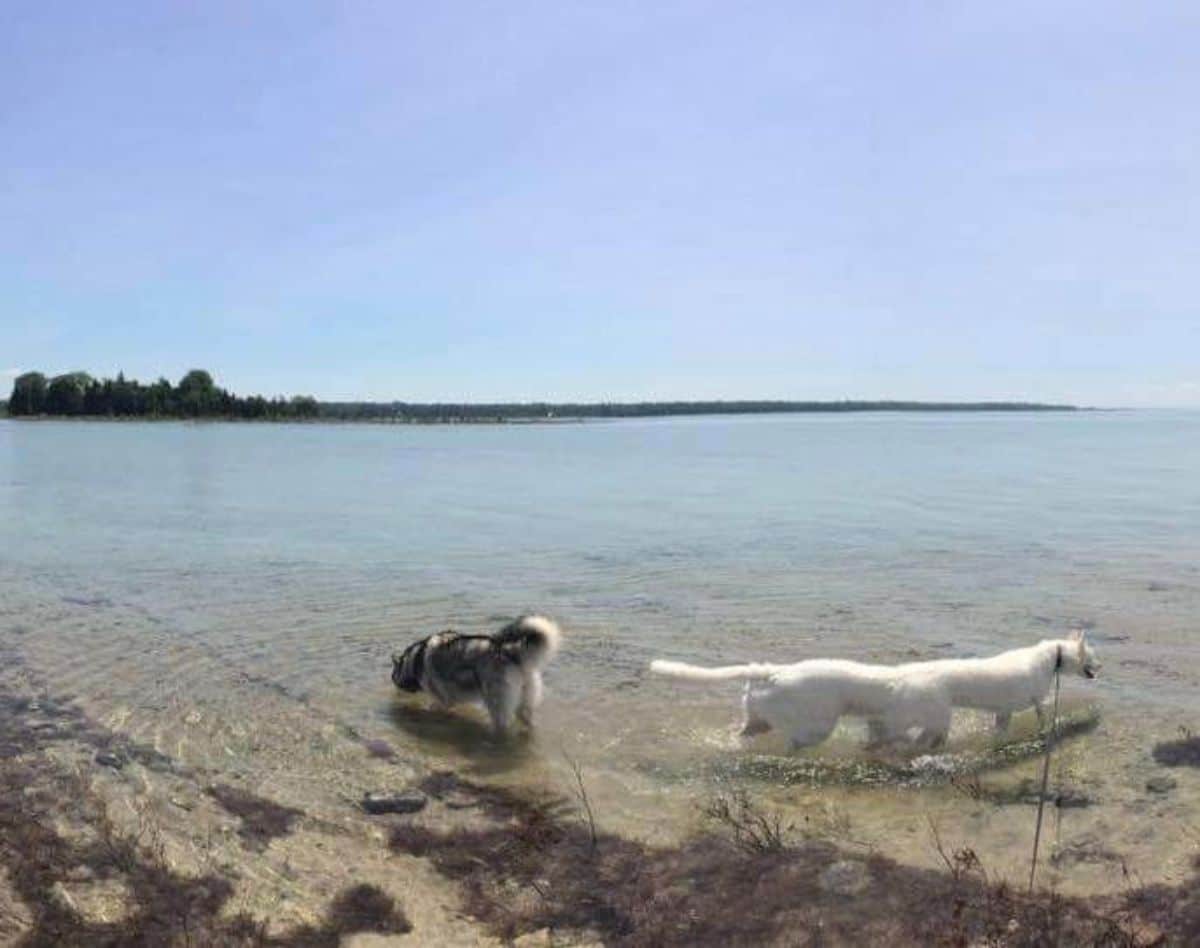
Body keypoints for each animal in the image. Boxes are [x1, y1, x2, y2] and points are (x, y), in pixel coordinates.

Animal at [652, 633, 1099, 753]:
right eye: (1094, 656)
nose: (1102, 670)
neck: (1049, 657)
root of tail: (774, 672)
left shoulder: (1006, 710)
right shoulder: (1029, 699)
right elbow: (1040, 713)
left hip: (758, 712)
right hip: (820, 724)